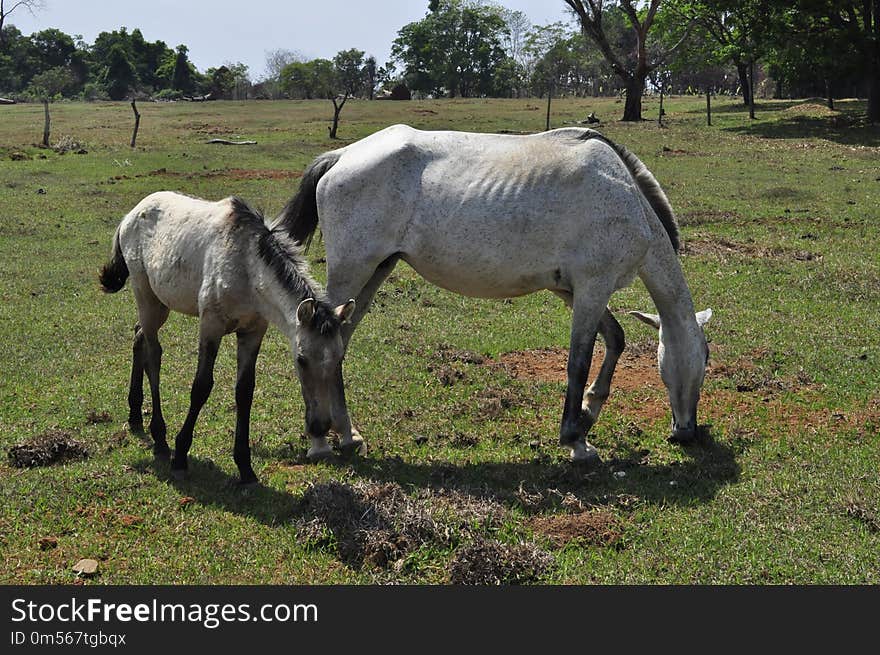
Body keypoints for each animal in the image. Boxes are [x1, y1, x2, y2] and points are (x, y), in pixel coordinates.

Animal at [105, 190, 360, 482]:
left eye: (339, 359)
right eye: (301, 360)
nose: (320, 425)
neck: (247, 266)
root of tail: (131, 214)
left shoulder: (252, 332)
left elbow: (244, 392)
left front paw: (245, 467)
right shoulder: (211, 325)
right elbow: (201, 386)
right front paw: (180, 455)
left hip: (160, 303)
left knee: (139, 339)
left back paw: (135, 415)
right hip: (145, 295)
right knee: (153, 356)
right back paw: (159, 439)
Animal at [278, 125, 712, 464]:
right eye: (705, 360)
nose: (687, 432)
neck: (626, 197)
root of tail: (341, 156)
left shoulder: (573, 290)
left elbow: (615, 339)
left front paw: (589, 411)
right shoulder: (593, 288)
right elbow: (578, 361)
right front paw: (576, 440)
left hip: (373, 275)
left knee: (339, 345)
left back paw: (347, 435)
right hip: (352, 273)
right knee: (316, 345)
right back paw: (320, 437)